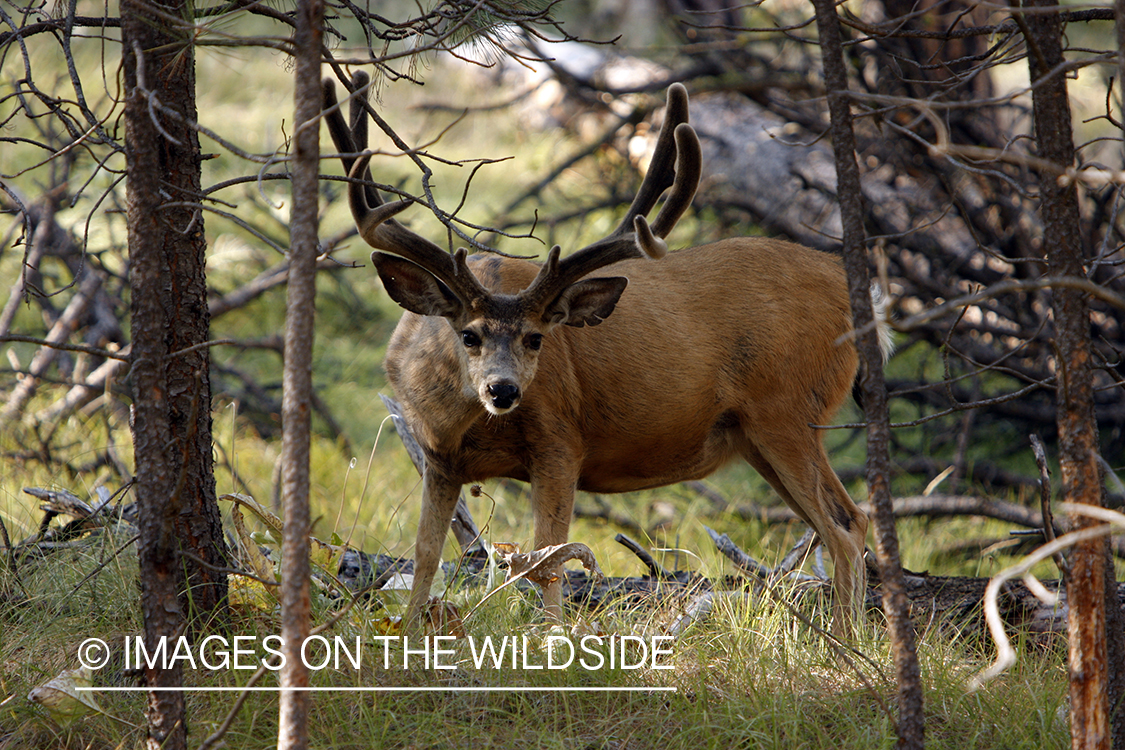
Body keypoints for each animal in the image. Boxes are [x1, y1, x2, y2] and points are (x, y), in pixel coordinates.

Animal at [322, 74, 892, 637]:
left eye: (538, 338)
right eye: (468, 335)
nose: (503, 389)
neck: (465, 426)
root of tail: (859, 297)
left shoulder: (560, 441)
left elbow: (546, 559)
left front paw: (550, 640)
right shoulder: (438, 460)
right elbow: (424, 555)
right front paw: (411, 633)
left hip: (786, 409)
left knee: (845, 524)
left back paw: (849, 644)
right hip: (754, 435)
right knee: (841, 521)